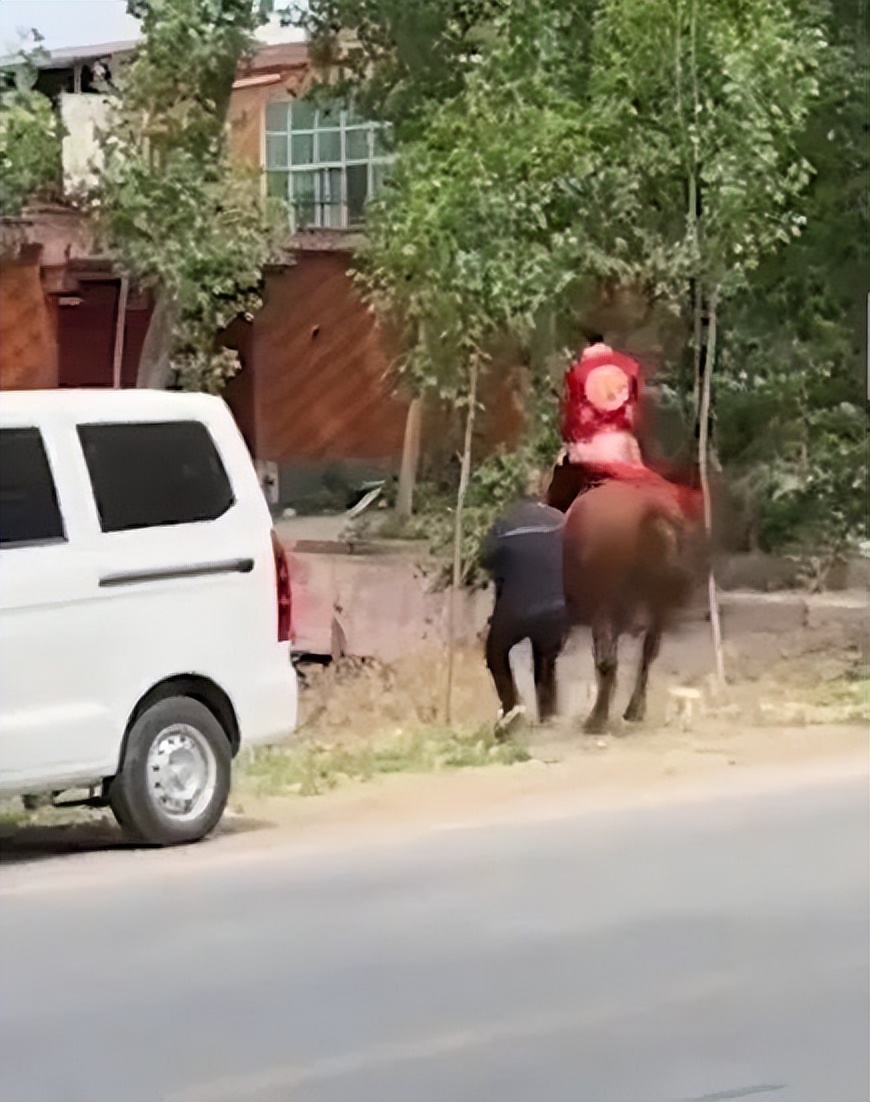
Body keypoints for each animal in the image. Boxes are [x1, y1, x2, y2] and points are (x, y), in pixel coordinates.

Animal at [553, 471, 710, 731]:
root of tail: (651, 510)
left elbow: (603, 661)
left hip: (610, 605)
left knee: (609, 660)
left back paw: (597, 718)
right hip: (657, 605)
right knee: (648, 653)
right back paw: (633, 710)